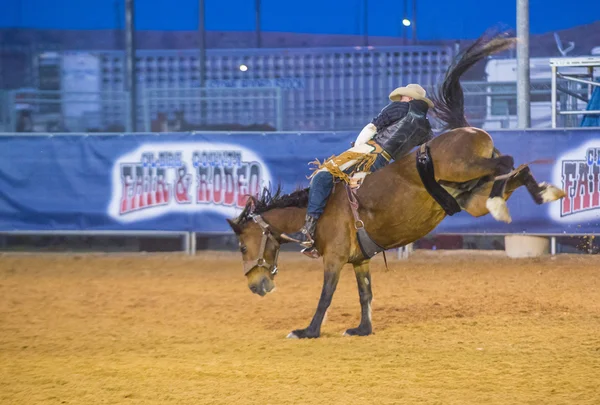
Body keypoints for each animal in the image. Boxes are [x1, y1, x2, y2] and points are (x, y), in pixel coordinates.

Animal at [226, 30, 568, 338]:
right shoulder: (360, 260)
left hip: (466, 168)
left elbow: (326, 296)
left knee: (507, 162)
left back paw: (508, 201)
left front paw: (307, 331)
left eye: (242, 245)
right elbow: (365, 293)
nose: (255, 286)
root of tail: (468, 129)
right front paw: (362, 329)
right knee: (517, 171)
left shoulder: (334, 259)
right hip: (472, 197)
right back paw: (540, 194)